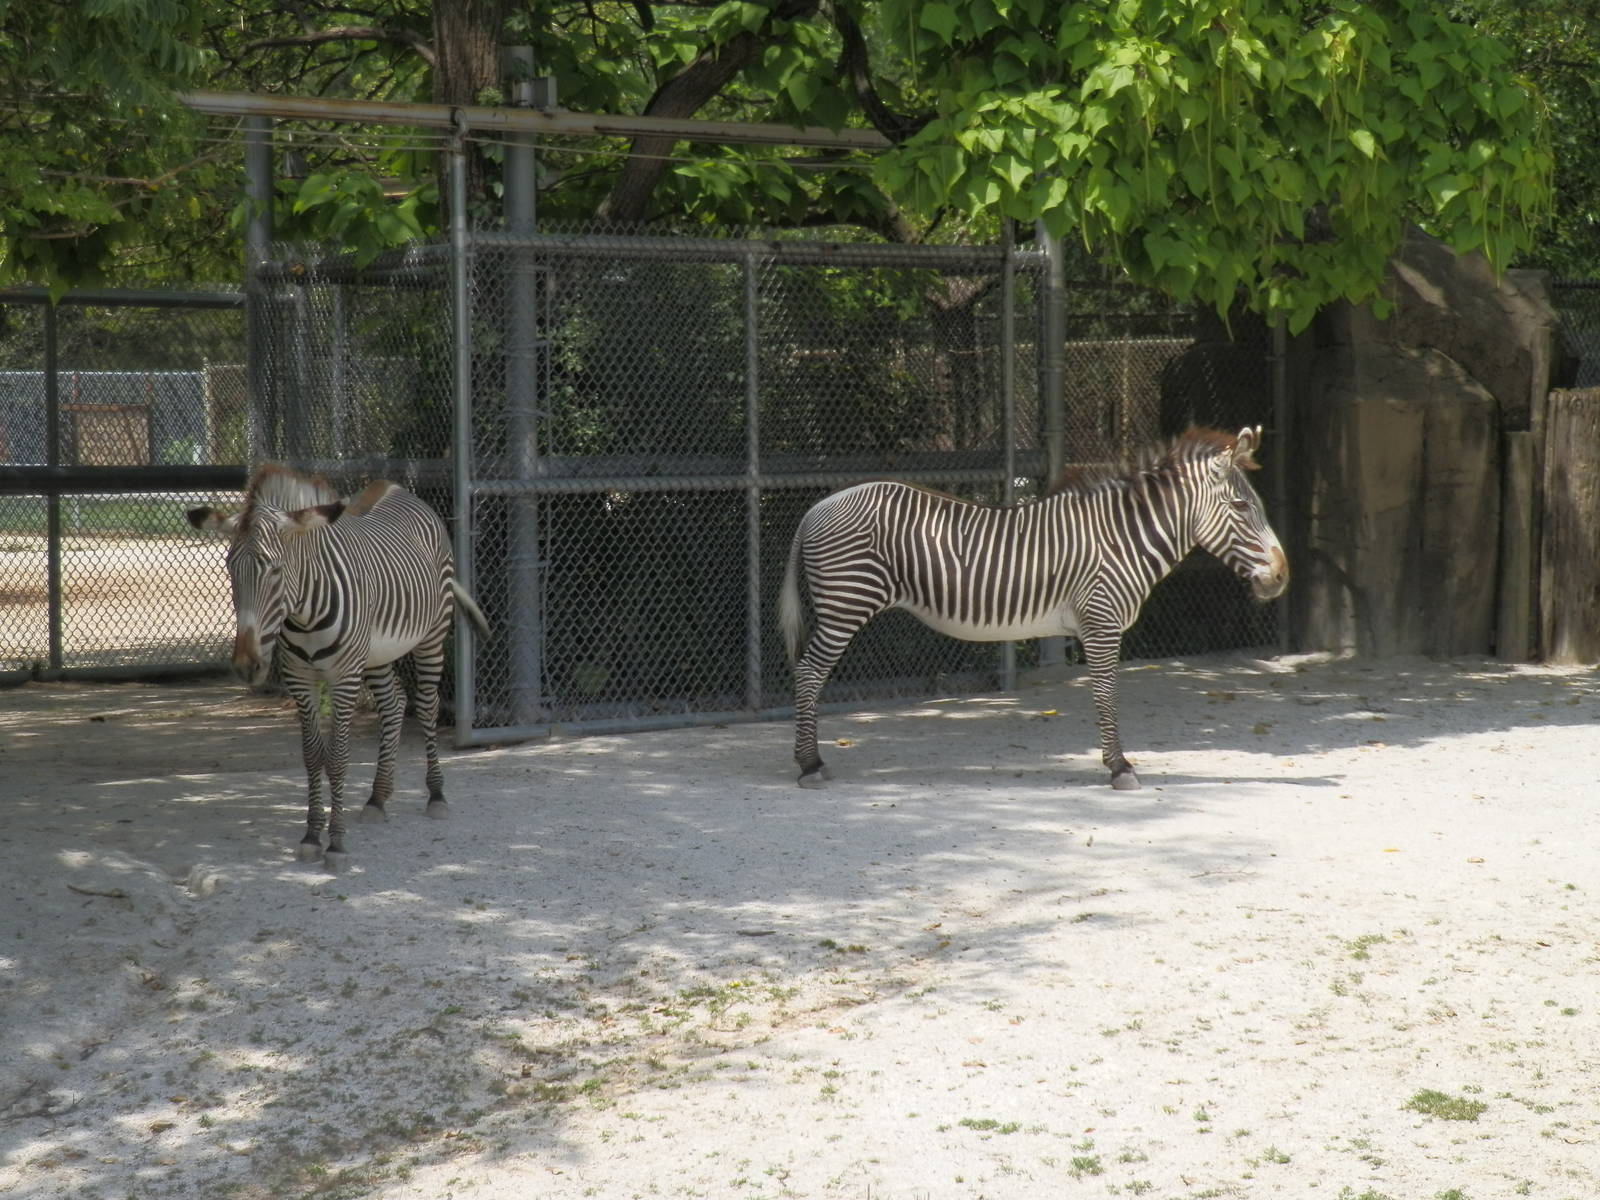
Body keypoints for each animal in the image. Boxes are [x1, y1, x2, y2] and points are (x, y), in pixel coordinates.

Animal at [188, 464, 489, 868]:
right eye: (229, 568)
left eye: (275, 571)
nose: (247, 665)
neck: (304, 614)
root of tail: (396, 487)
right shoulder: (301, 680)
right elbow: (313, 756)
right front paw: (312, 836)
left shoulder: (344, 678)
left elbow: (339, 758)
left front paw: (336, 843)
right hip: (375, 653)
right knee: (393, 704)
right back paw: (377, 797)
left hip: (432, 634)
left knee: (427, 705)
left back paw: (436, 795)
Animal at [780, 426, 1288, 791]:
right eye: (1241, 506)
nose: (1282, 576)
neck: (1122, 538)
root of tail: (818, 506)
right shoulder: (1101, 621)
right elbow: (1107, 695)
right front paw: (1119, 767)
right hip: (846, 604)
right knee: (808, 673)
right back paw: (810, 764)